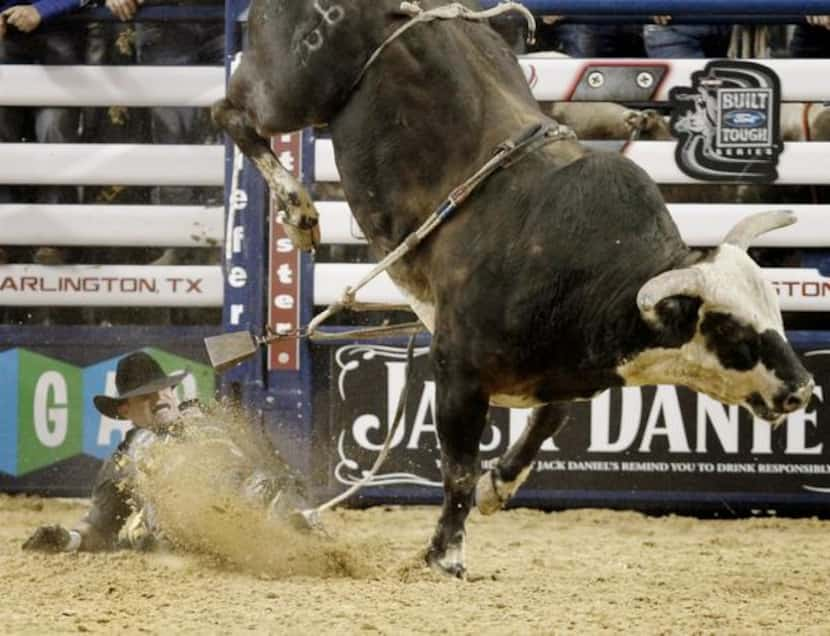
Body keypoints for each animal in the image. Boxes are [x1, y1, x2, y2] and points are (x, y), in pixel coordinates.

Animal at [214, 0, 820, 576]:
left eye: (776, 314)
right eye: (732, 331)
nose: (801, 389)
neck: (581, 267)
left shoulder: (562, 373)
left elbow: (540, 430)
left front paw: (497, 487)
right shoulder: (456, 370)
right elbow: (459, 469)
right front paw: (446, 556)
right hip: (293, 89)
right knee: (231, 113)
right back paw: (299, 211)